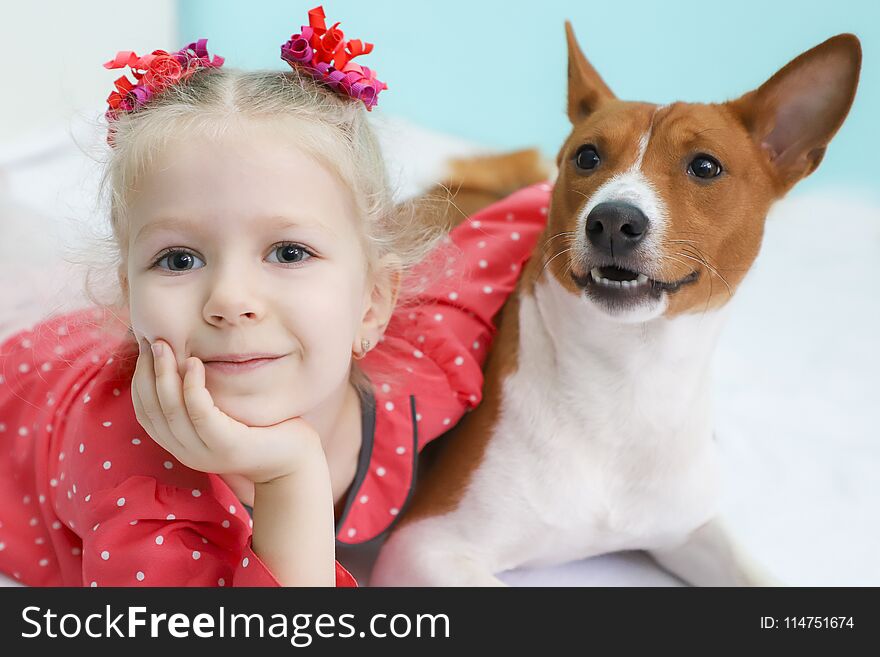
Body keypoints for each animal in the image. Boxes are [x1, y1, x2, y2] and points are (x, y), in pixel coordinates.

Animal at [370, 20, 860, 588]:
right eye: (587, 156)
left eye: (705, 167)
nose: (613, 219)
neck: (628, 379)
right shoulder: (427, 544)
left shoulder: (690, 528)